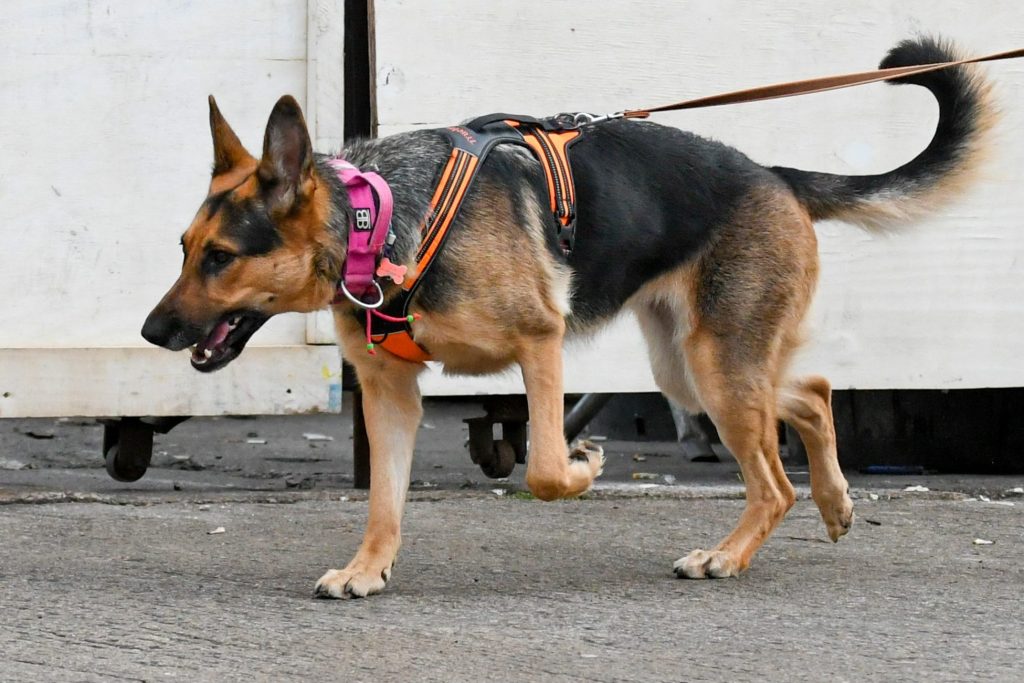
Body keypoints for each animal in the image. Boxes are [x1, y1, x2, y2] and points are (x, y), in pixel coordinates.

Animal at [144, 38, 991, 598]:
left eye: (220, 256)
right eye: (183, 249)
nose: (152, 333)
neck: (373, 223)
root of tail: (774, 175)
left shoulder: (540, 344)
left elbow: (545, 469)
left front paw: (587, 466)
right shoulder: (390, 397)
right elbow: (383, 500)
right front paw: (368, 567)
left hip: (713, 368)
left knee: (775, 478)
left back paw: (727, 554)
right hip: (688, 370)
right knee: (812, 394)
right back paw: (836, 503)